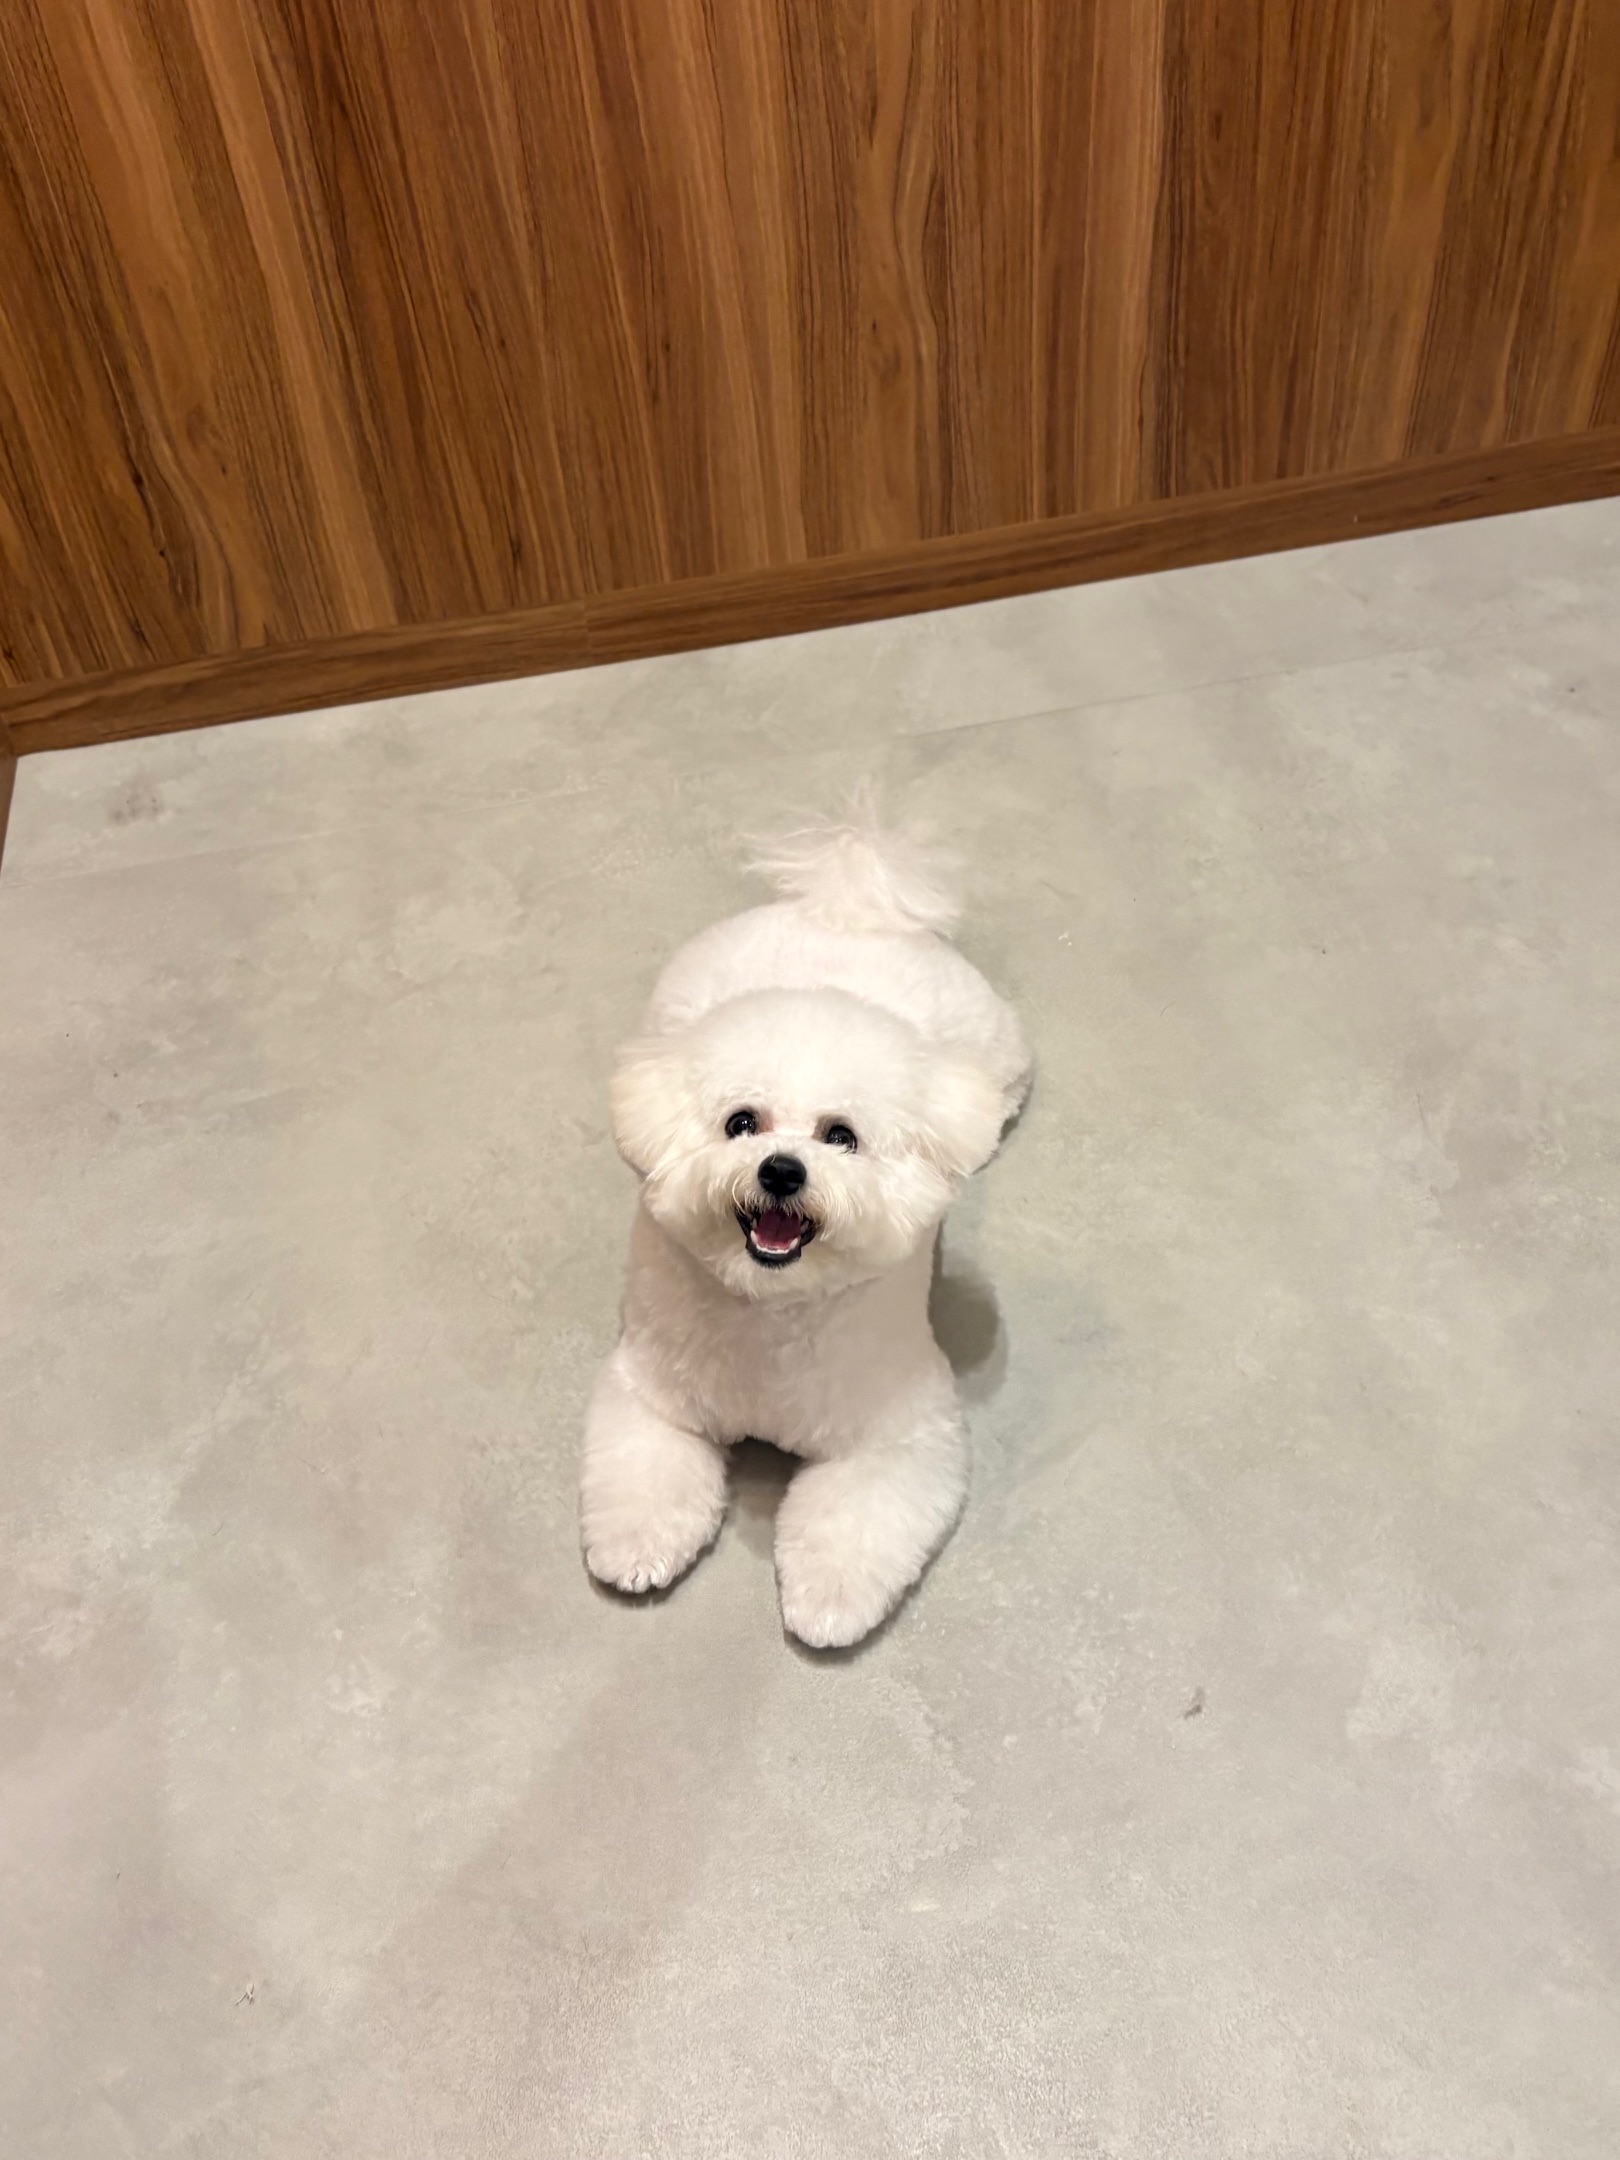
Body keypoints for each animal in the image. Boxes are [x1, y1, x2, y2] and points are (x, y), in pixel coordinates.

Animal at [581, 811, 1030, 1647]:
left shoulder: (898, 1426)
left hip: (993, 1044)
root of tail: (848, 910)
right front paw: (637, 1546)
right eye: (741, 1123)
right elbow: (647, 1470)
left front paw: (829, 1601)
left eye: (841, 1137)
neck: (772, 1310)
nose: (782, 1171)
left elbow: (855, 1516)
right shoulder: (653, 1390)